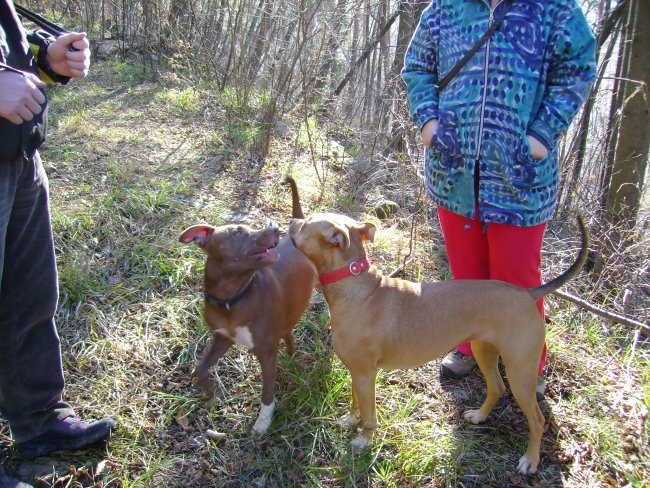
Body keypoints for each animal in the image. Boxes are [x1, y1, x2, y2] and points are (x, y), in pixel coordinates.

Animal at [180, 178, 316, 434]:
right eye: (236, 233)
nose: (275, 228)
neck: (232, 300)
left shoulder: (267, 354)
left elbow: (267, 394)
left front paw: (262, 423)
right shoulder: (222, 338)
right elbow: (199, 370)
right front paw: (211, 393)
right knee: (288, 331)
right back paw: (292, 354)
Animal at [288, 212, 588, 474]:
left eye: (307, 222)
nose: (291, 220)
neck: (354, 283)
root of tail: (528, 294)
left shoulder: (365, 374)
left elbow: (370, 415)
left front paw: (365, 441)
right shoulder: (356, 372)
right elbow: (355, 403)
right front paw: (351, 420)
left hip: (521, 371)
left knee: (537, 420)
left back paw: (530, 460)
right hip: (483, 350)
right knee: (497, 387)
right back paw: (479, 416)